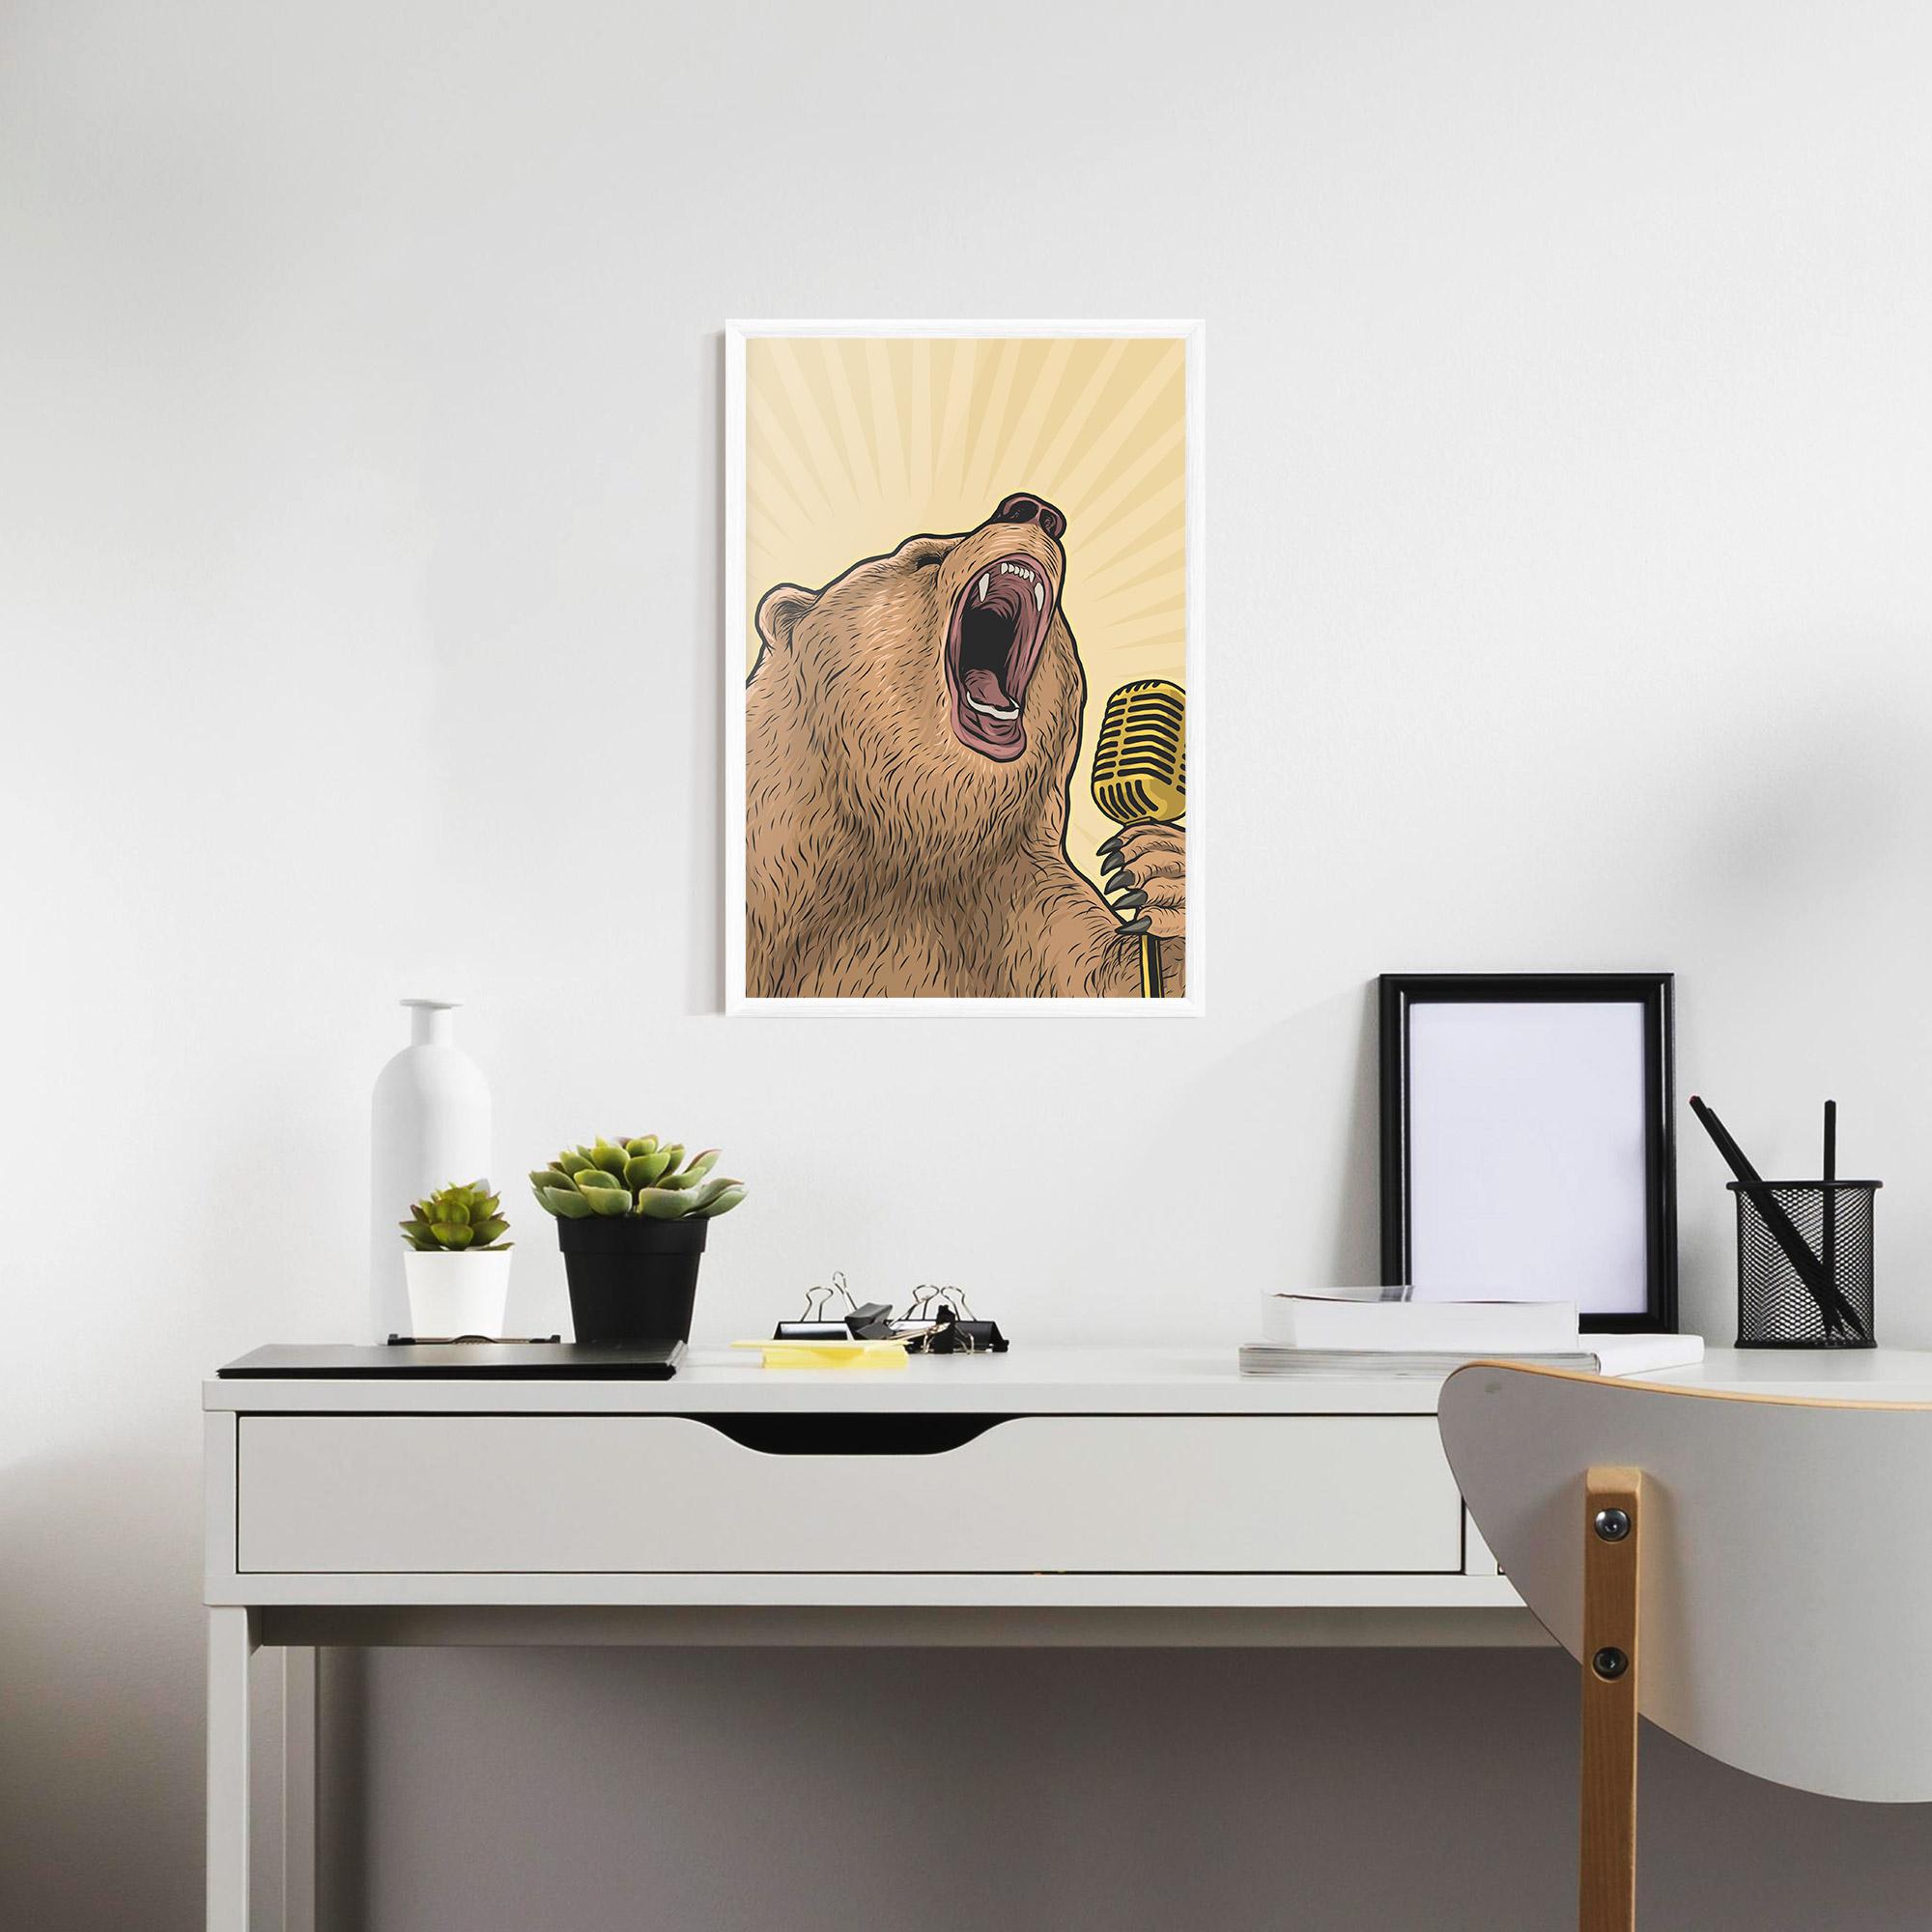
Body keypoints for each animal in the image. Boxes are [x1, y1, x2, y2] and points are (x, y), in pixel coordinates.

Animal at [744, 490, 1185, 998]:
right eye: (924, 557)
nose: (1033, 510)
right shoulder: (778, 867)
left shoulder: (1013, 893)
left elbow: (1105, 970)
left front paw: (1159, 869)